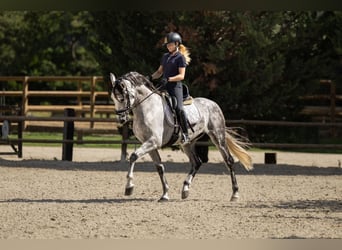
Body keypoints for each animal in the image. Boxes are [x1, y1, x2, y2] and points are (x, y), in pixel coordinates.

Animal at [110, 71, 254, 202]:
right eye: (113, 98)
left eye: (121, 98)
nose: (121, 119)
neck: (147, 108)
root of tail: (213, 103)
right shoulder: (149, 143)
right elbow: (160, 167)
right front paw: (165, 195)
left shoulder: (153, 141)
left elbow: (134, 156)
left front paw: (129, 187)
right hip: (188, 143)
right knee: (196, 162)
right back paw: (185, 189)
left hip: (217, 136)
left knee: (228, 160)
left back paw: (235, 194)